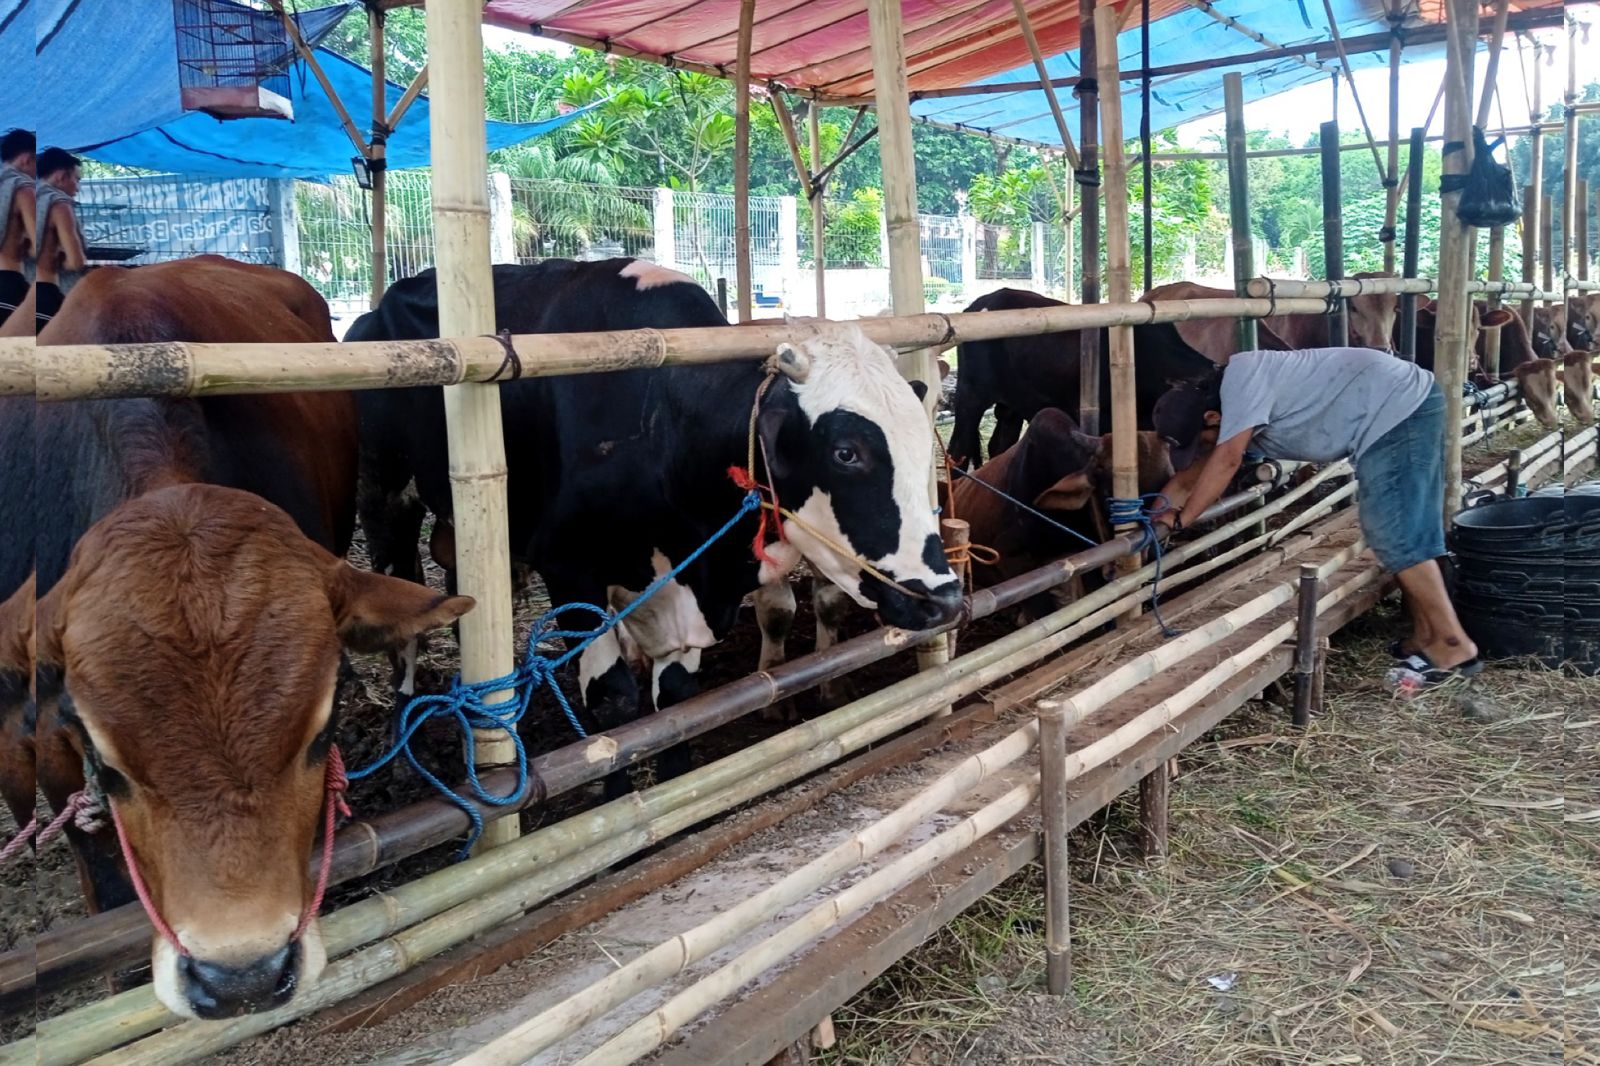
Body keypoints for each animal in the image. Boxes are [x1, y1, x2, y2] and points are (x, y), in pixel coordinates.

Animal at [353, 256, 960, 771]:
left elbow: (675, 702)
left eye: (920, 437)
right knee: (403, 611)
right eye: (846, 452)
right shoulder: (569, 567)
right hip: (388, 499)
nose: (944, 598)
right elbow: (613, 703)